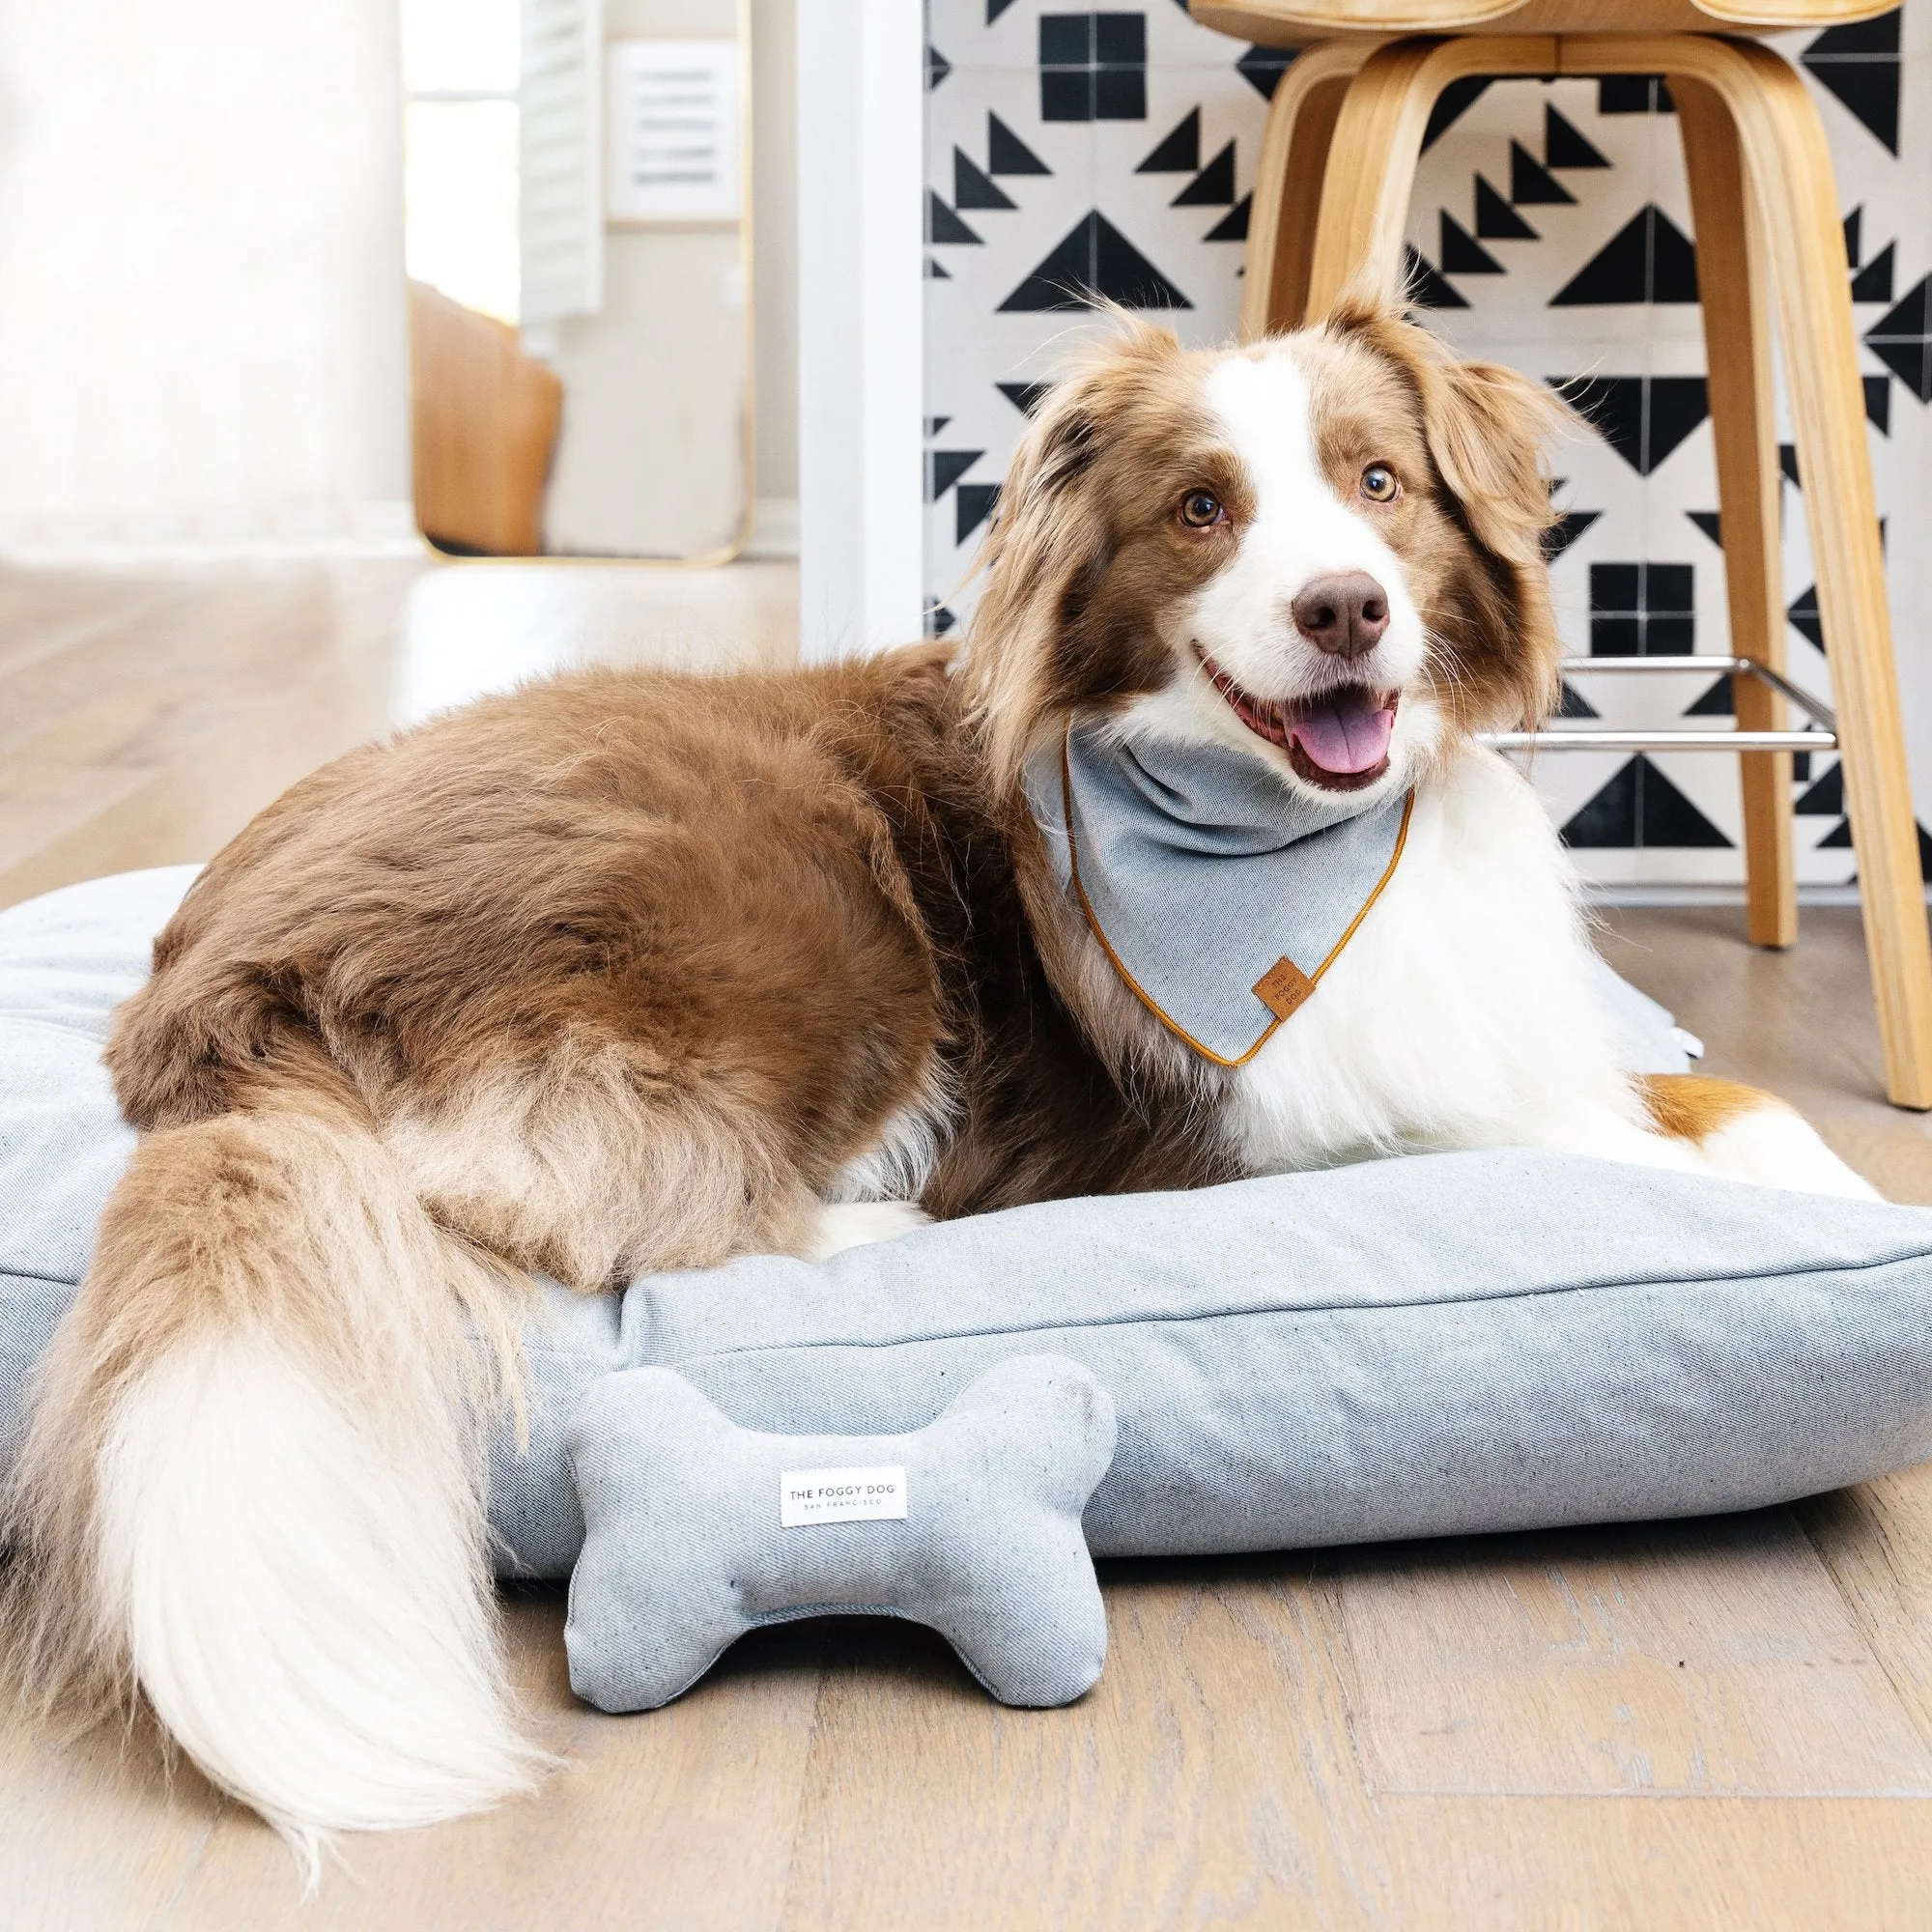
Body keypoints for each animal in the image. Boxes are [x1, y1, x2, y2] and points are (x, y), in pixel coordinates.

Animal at [0, 298, 1870, 1870]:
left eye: (1380, 483)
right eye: (1204, 509)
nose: (1344, 606)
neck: (1301, 841)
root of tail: (212, 970)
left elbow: (1723, 1102)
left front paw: (1806, 1175)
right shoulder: (1239, 1136)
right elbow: (1574, 1151)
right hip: (806, 917)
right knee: (599, 1207)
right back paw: (882, 1235)